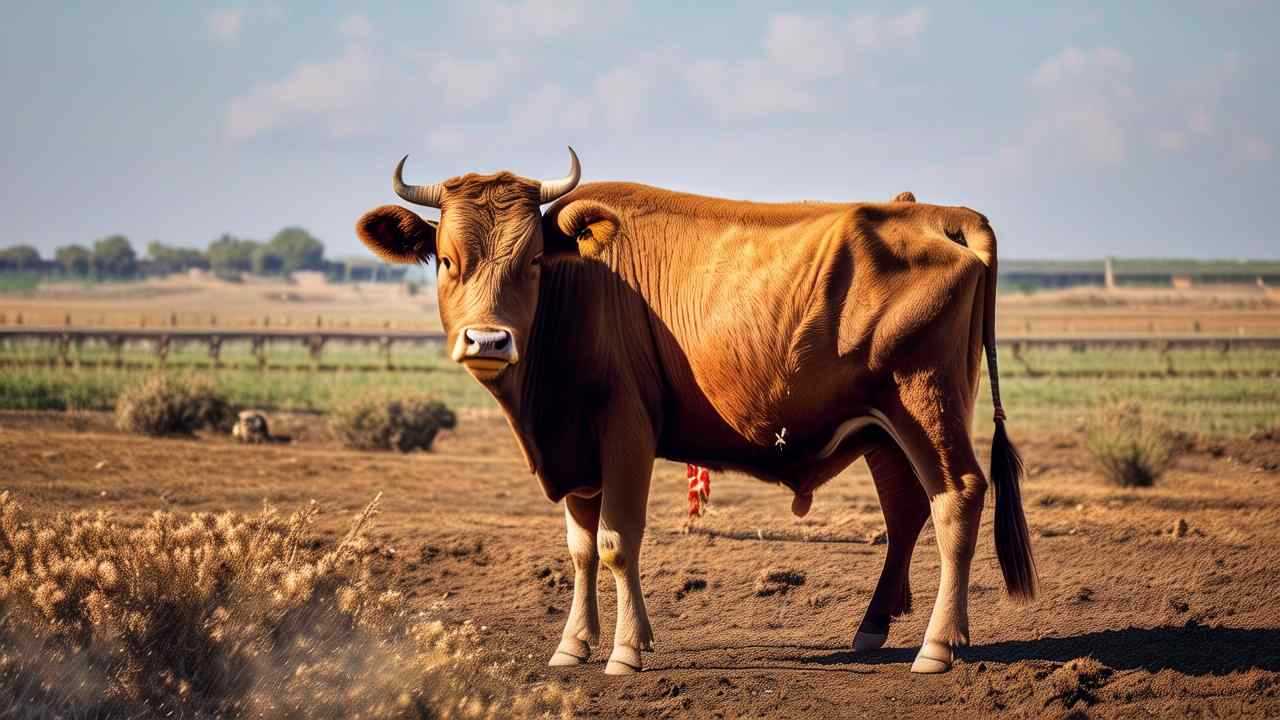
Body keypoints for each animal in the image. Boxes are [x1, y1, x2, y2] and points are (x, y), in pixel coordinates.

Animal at [355, 149, 1034, 671]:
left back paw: (938, 647)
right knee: (906, 511)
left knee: (958, 497)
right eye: (448, 260)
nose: (489, 341)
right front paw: (573, 646)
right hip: (883, 429)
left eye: (532, 262)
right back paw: (872, 629)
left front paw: (625, 651)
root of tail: (938, 214)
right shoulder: (577, 446)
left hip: (926, 405)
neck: (582, 287)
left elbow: (616, 540)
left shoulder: (625, 431)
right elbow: (580, 547)